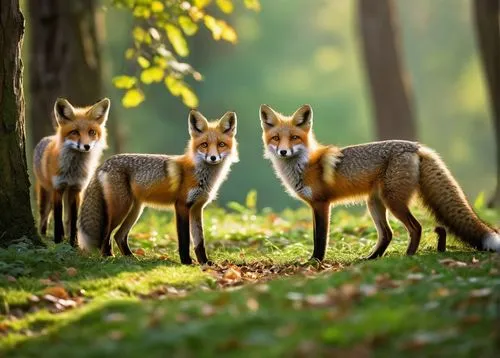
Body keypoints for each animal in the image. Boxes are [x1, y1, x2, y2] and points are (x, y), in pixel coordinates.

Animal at [33, 96, 109, 245]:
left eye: (92, 132)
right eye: (74, 132)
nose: (86, 146)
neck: (73, 171)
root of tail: (46, 138)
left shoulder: (76, 189)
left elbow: (73, 219)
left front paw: (74, 243)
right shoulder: (58, 188)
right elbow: (58, 218)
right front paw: (58, 241)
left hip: (66, 195)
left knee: (66, 219)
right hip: (46, 195)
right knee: (44, 217)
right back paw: (44, 235)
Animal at [77, 109, 238, 262]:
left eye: (221, 144)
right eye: (204, 145)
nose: (213, 157)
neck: (201, 175)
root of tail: (105, 163)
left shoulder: (197, 208)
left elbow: (200, 241)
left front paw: (205, 263)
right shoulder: (181, 205)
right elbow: (184, 239)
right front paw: (186, 261)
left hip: (135, 210)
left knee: (119, 236)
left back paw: (130, 258)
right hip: (121, 208)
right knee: (106, 234)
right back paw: (108, 256)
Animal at [260, 103, 498, 260]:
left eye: (294, 138)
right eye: (276, 138)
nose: (282, 151)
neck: (305, 165)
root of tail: (416, 146)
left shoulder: (322, 205)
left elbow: (320, 238)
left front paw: (315, 261)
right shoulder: (315, 206)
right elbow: (316, 235)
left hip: (393, 202)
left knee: (416, 227)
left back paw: (408, 256)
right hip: (374, 203)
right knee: (388, 234)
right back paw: (372, 258)